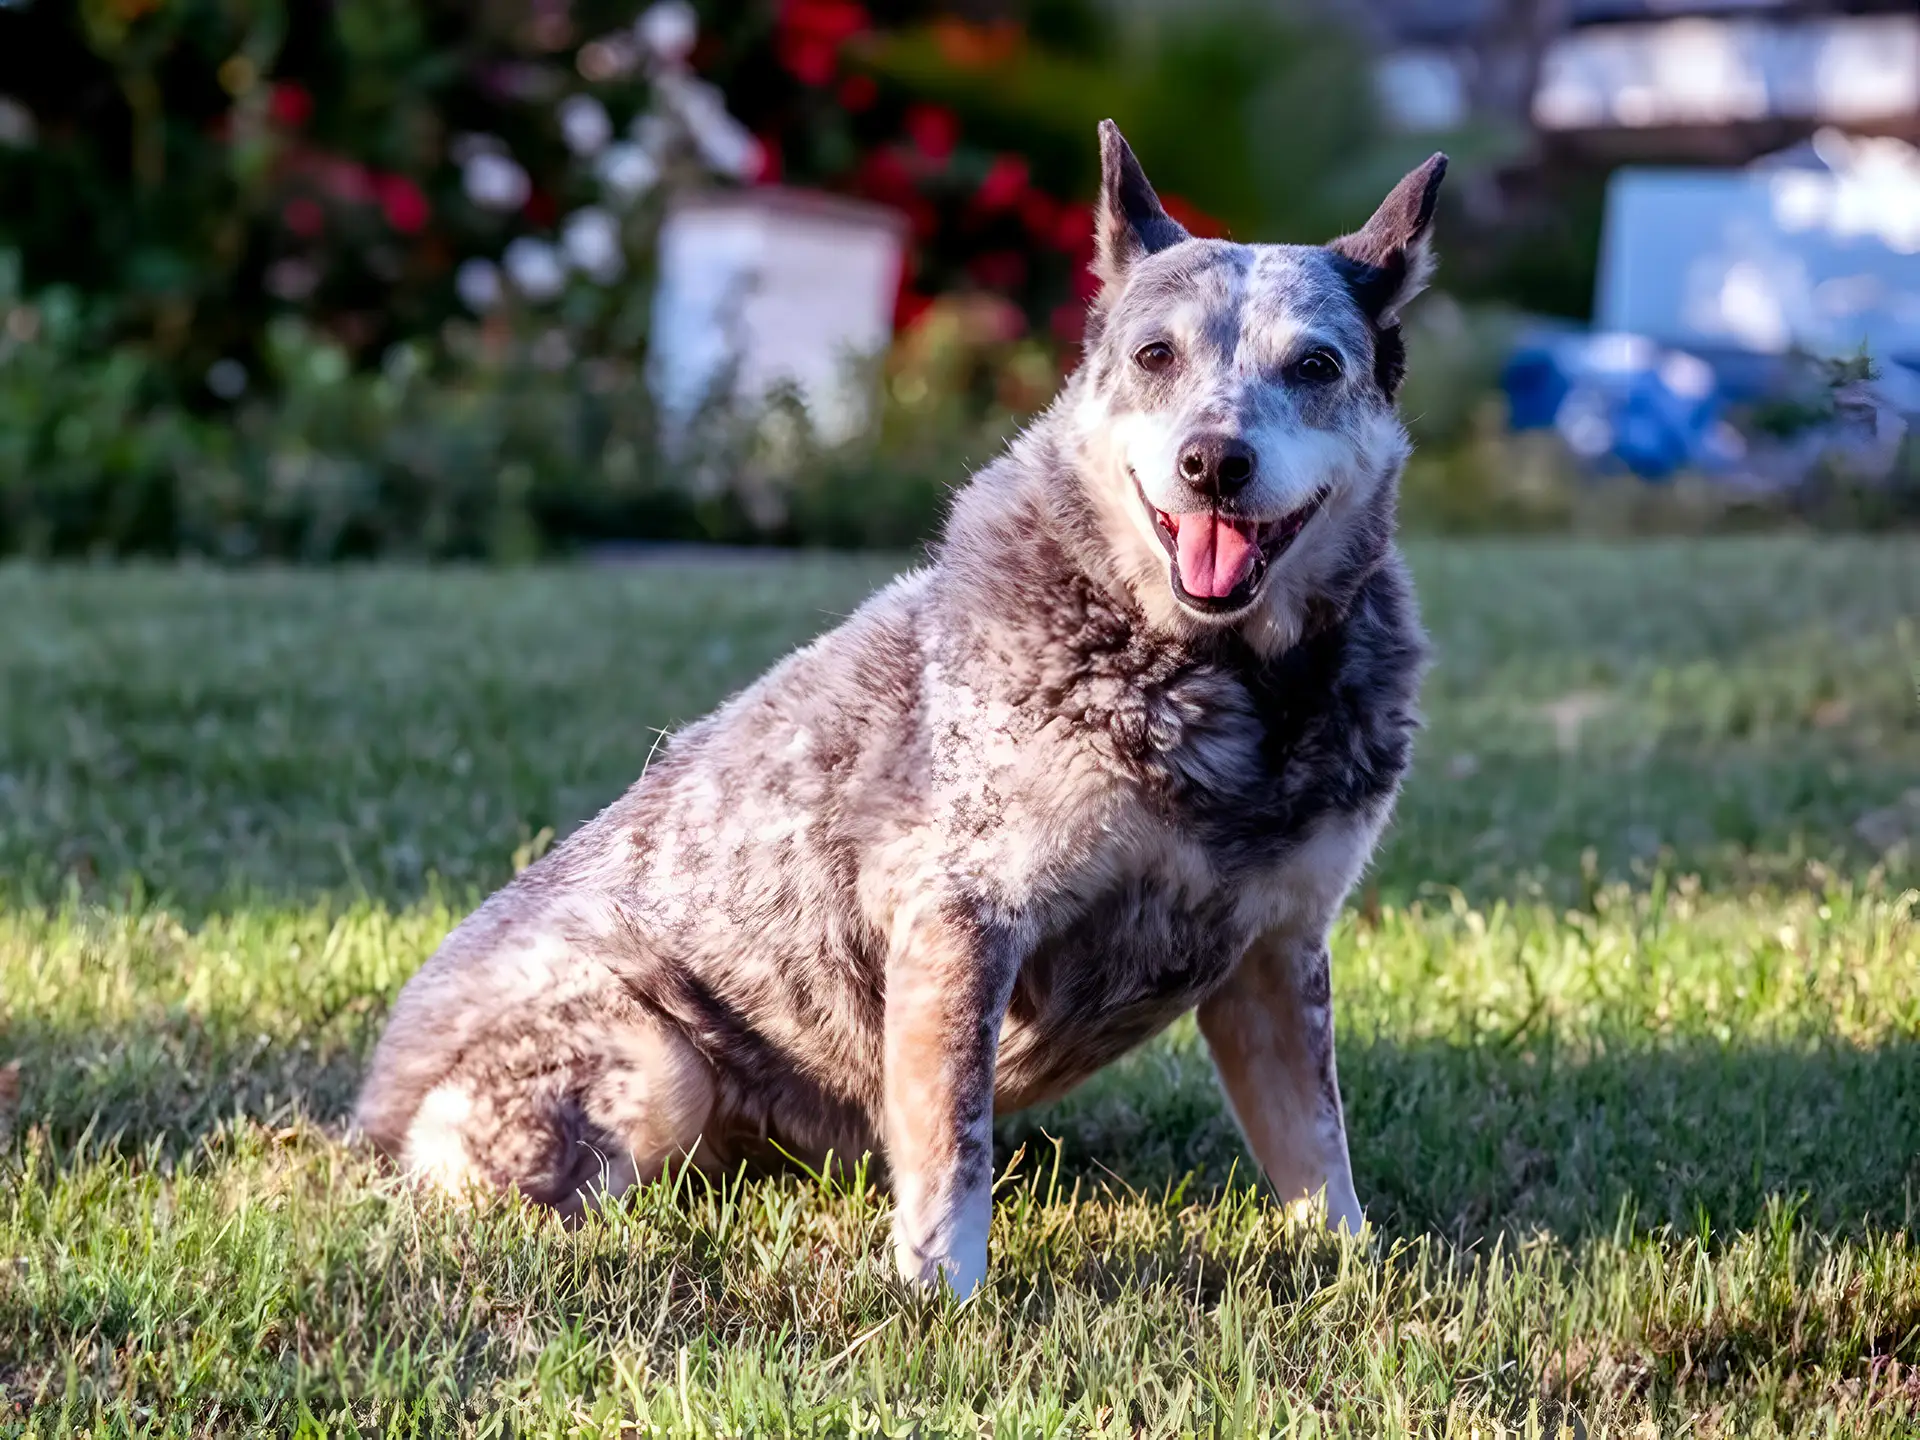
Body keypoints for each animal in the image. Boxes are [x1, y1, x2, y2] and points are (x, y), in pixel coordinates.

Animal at [357, 123, 1443, 1297]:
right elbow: (952, 1145)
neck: (1227, 683)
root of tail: (372, 1102)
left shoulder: (1275, 952)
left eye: (1316, 365)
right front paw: (939, 1293)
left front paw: (1359, 1270)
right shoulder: (959, 918)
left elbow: (1317, 1149)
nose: (1213, 461)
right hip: (654, 1057)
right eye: (1157, 355)